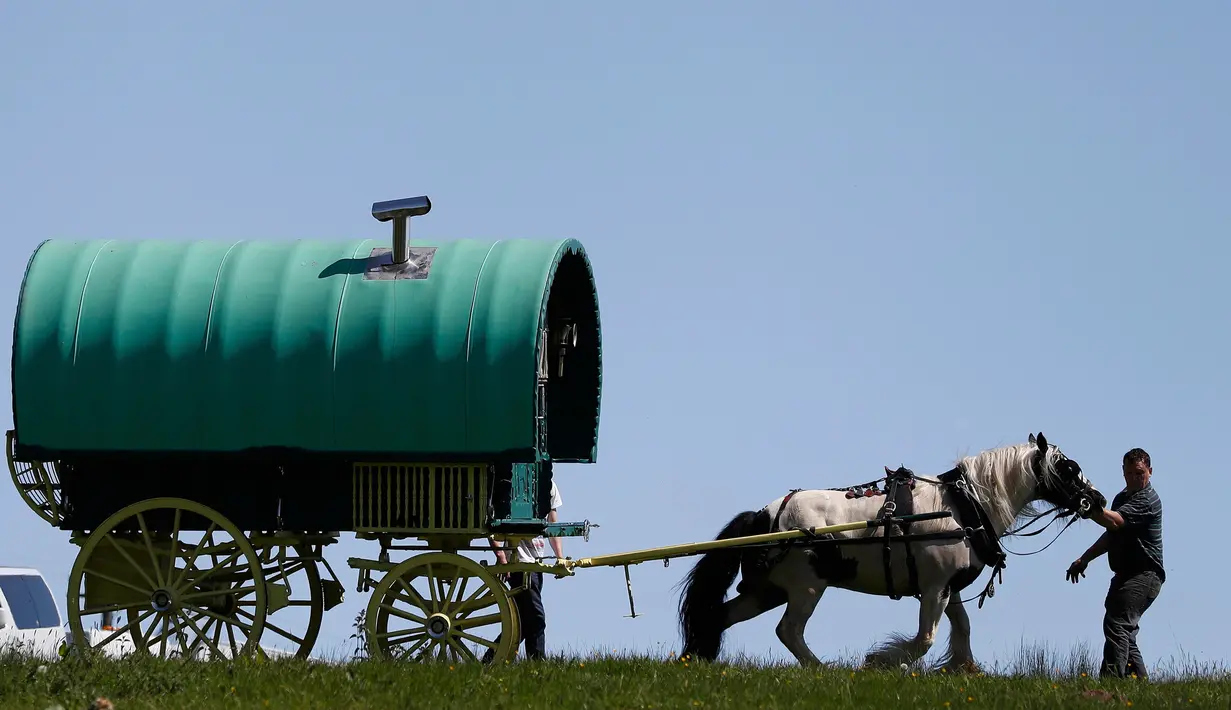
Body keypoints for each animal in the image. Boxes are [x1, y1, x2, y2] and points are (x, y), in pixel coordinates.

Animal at [676, 432, 1106, 673]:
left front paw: (965, 669)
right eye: (1068, 469)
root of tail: (762, 516)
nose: (1098, 500)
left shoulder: (949, 590)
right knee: (789, 630)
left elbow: (963, 628)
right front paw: (879, 661)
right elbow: (925, 639)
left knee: (721, 616)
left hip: (767, 590)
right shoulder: (933, 591)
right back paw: (823, 670)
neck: (962, 508)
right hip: (805, 589)